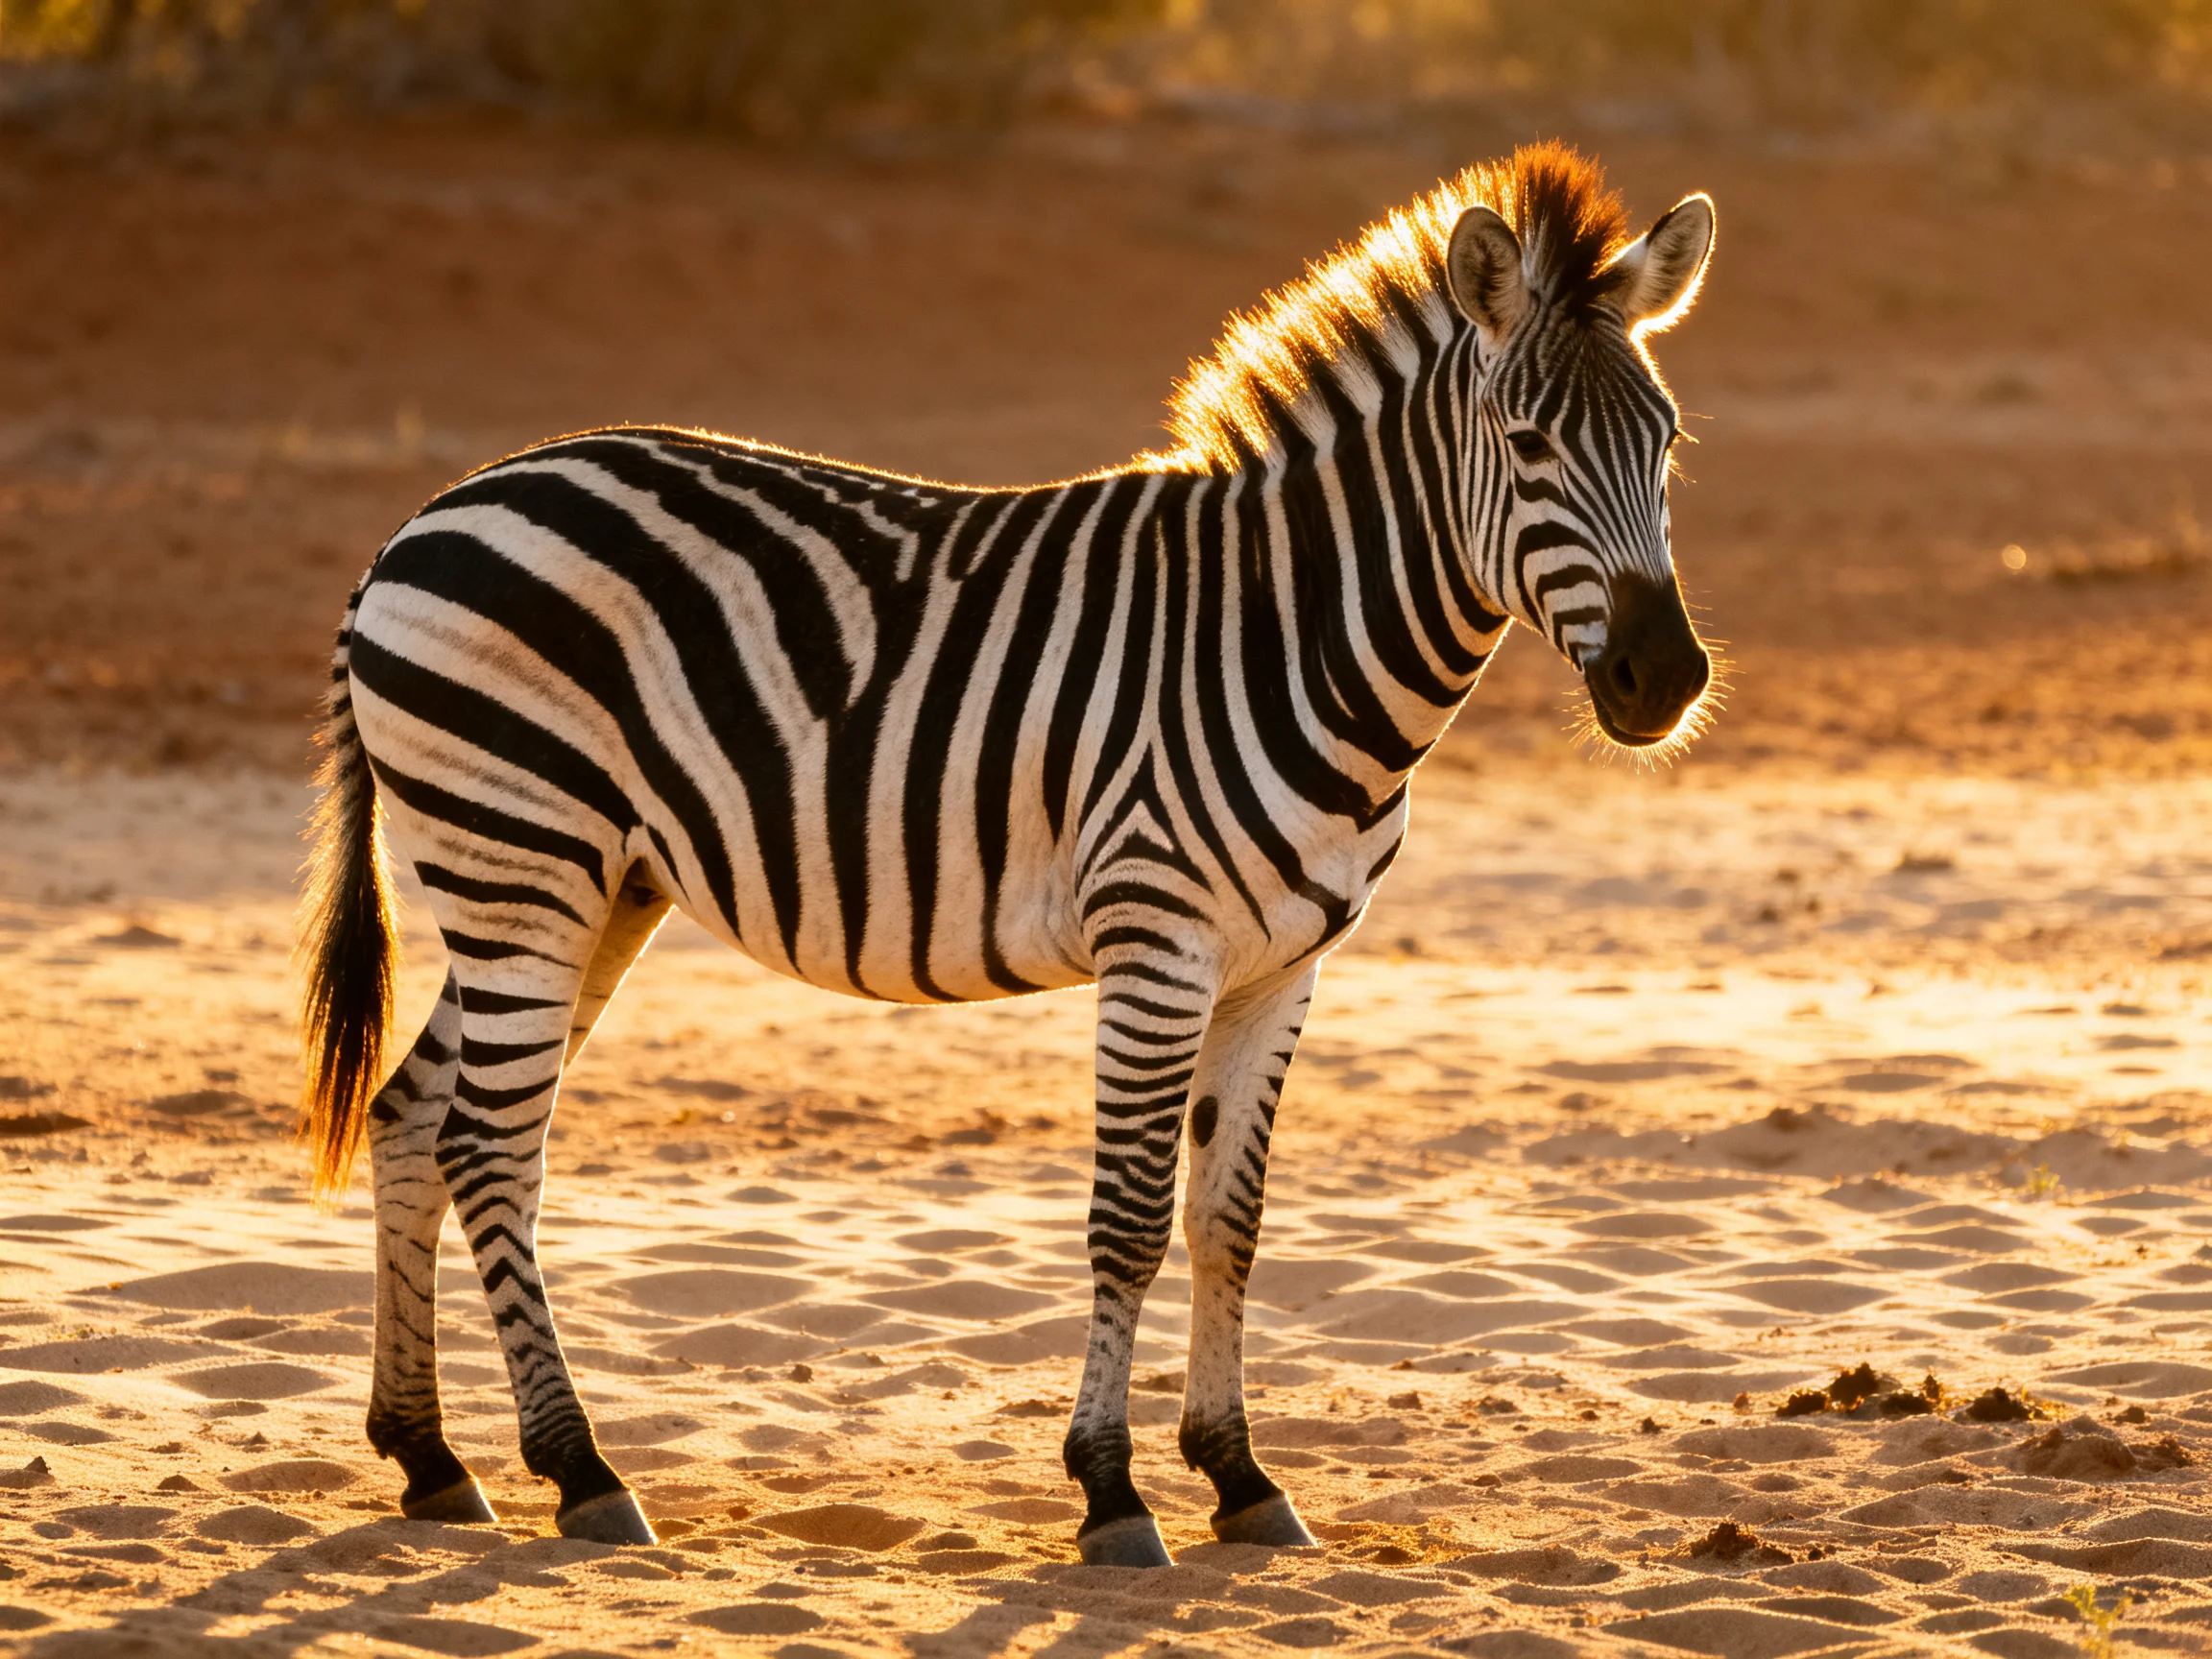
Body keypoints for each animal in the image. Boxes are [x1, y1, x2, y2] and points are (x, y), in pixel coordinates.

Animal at [298, 142, 1717, 1564]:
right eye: (1528, 446)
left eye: (1666, 444)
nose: (1665, 680)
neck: (1292, 634)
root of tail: (420, 524)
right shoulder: (1158, 941)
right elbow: (1130, 1219)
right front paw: (1112, 1491)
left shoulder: (1283, 965)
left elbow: (1229, 1222)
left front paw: (1241, 1478)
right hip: (522, 861)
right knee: (490, 1147)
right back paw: (579, 1468)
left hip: (591, 883)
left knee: (414, 1118)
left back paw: (429, 1456)